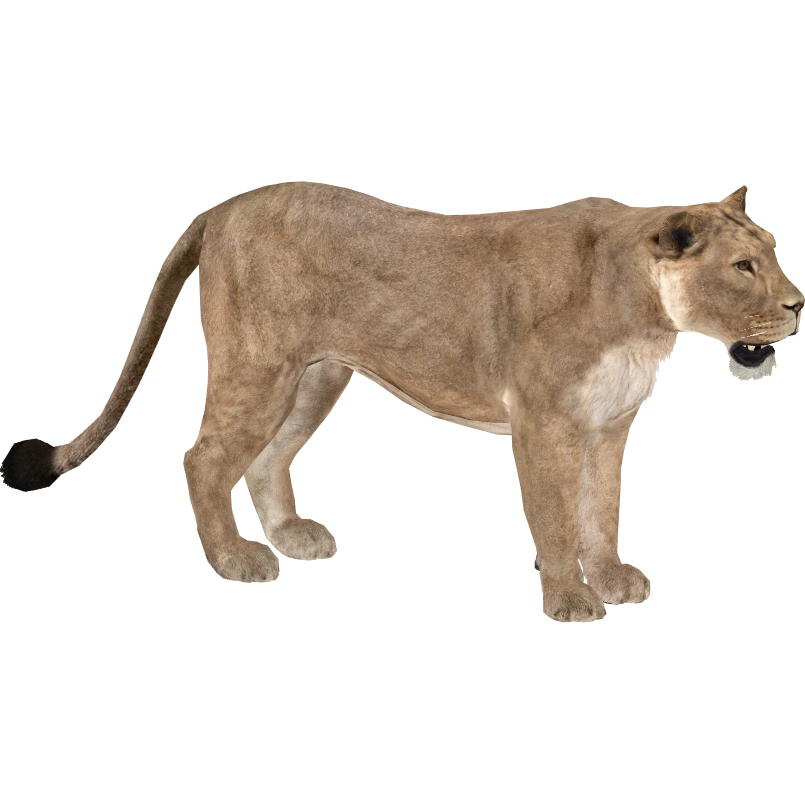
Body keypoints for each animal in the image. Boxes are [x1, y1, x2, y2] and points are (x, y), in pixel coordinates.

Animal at [1, 183, 802, 621]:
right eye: (742, 266)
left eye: (769, 254)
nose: (798, 304)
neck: (644, 311)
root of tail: (227, 206)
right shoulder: (546, 420)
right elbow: (557, 518)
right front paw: (573, 600)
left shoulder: (609, 425)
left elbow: (602, 509)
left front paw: (612, 579)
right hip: (261, 367)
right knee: (203, 456)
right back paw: (234, 559)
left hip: (314, 376)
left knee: (266, 458)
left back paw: (290, 535)